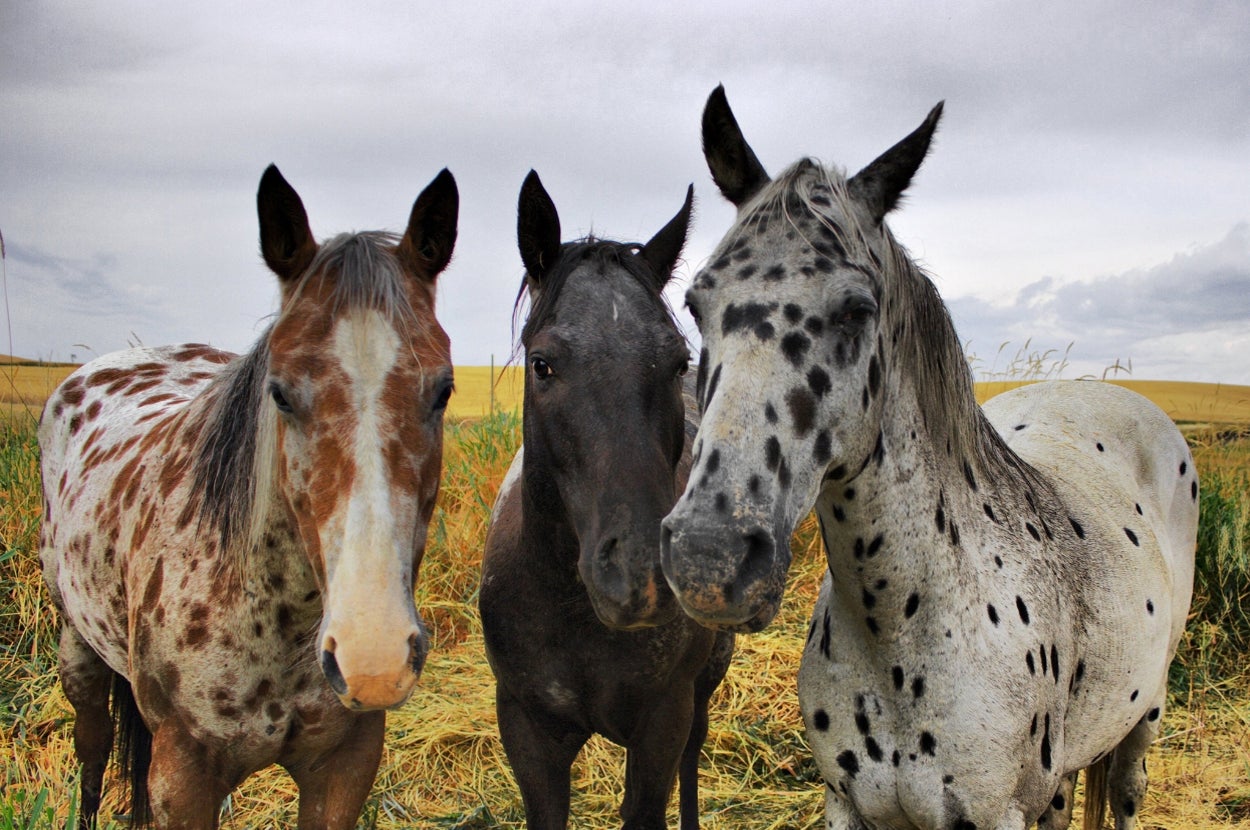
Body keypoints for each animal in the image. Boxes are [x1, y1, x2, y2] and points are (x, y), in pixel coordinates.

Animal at [38, 164, 459, 828]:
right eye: (279, 393)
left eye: (443, 390)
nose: (373, 658)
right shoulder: (181, 779)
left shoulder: (345, 766)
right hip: (76, 643)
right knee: (93, 745)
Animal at [659, 86, 1198, 830]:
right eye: (695, 303)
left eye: (857, 309)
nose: (708, 561)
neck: (904, 629)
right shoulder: (848, 805)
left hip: (1143, 720)